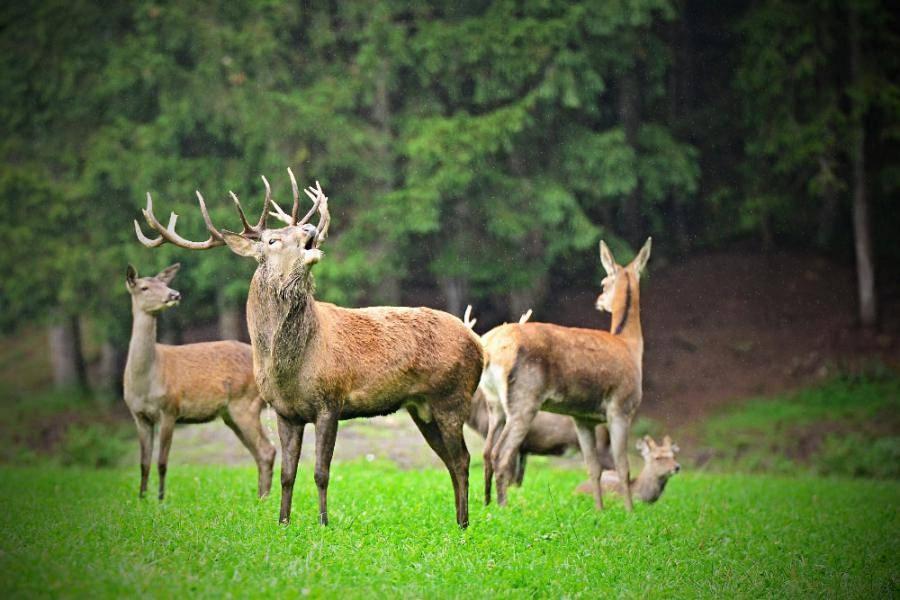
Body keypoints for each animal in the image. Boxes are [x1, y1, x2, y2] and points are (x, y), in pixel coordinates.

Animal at [122, 264, 274, 500]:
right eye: (144, 287)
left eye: (164, 284)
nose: (174, 294)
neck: (145, 383)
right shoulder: (138, 415)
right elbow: (144, 463)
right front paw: (141, 498)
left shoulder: (170, 408)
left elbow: (162, 462)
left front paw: (160, 499)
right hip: (230, 414)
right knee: (258, 452)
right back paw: (260, 497)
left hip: (245, 402)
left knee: (267, 450)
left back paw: (264, 498)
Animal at [482, 238, 652, 510]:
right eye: (604, 282)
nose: (599, 300)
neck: (630, 347)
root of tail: (489, 349)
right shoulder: (621, 407)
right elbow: (623, 467)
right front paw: (630, 511)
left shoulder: (582, 417)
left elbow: (593, 467)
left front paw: (600, 510)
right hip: (524, 398)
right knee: (502, 452)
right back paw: (503, 507)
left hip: (494, 402)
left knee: (486, 450)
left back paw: (487, 503)